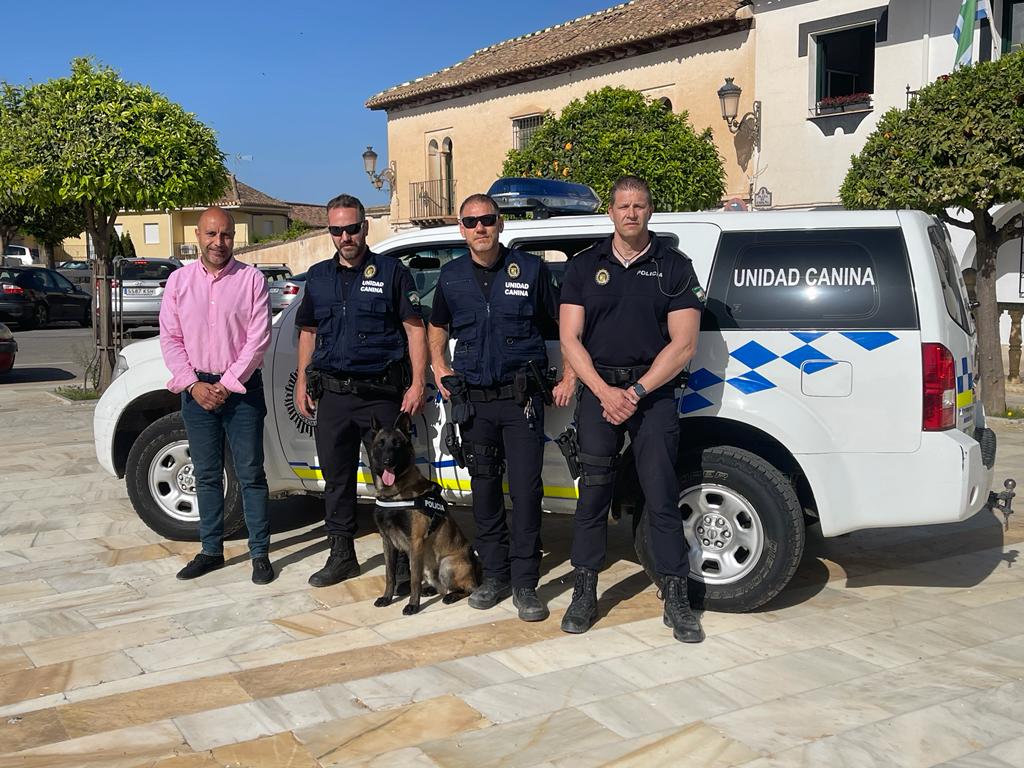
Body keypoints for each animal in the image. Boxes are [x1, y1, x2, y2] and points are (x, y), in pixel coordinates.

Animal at [368, 411, 479, 618]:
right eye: (381, 444)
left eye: (397, 444)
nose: (388, 462)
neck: (393, 494)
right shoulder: (387, 542)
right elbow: (389, 575)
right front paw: (387, 598)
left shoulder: (416, 541)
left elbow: (413, 580)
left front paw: (413, 605)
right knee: (438, 585)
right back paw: (431, 589)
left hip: (447, 564)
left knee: (468, 588)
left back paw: (451, 595)